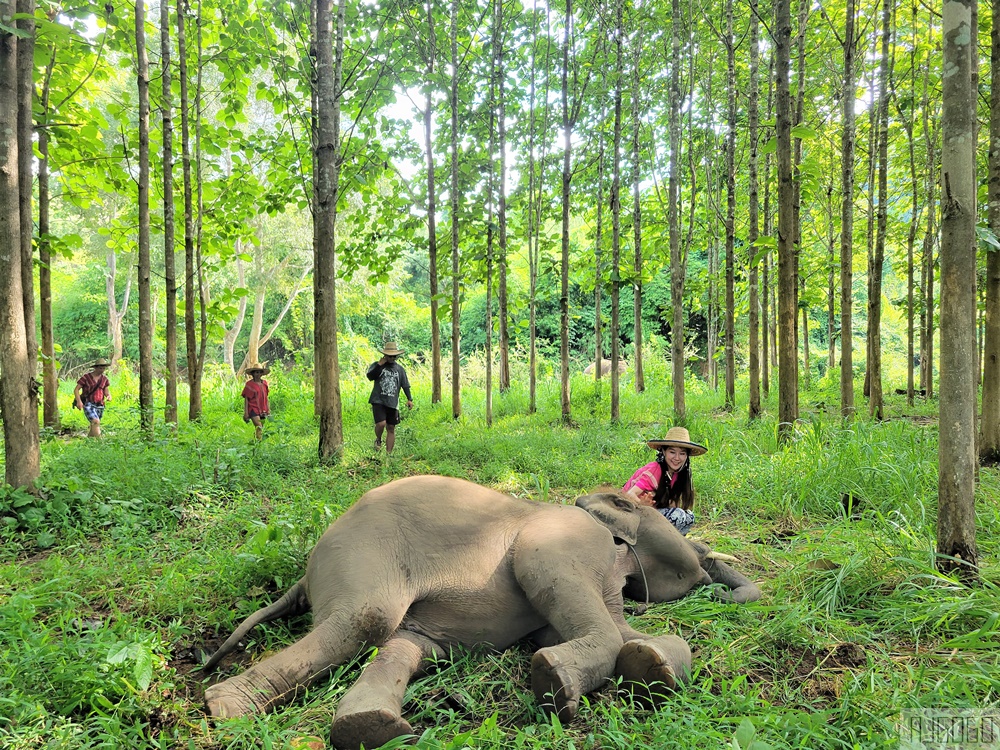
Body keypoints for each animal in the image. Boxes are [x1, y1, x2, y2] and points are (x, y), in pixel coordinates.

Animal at [202, 475, 759, 750]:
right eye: (679, 523)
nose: (715, 571)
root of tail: (307, 569)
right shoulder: (566, 540)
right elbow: (561, 590)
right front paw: (553, 683)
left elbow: (615, 630)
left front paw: (653, 666)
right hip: (361, 556)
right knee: (367, 621)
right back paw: (227, 711)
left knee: (405, 644)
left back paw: (371, 729)